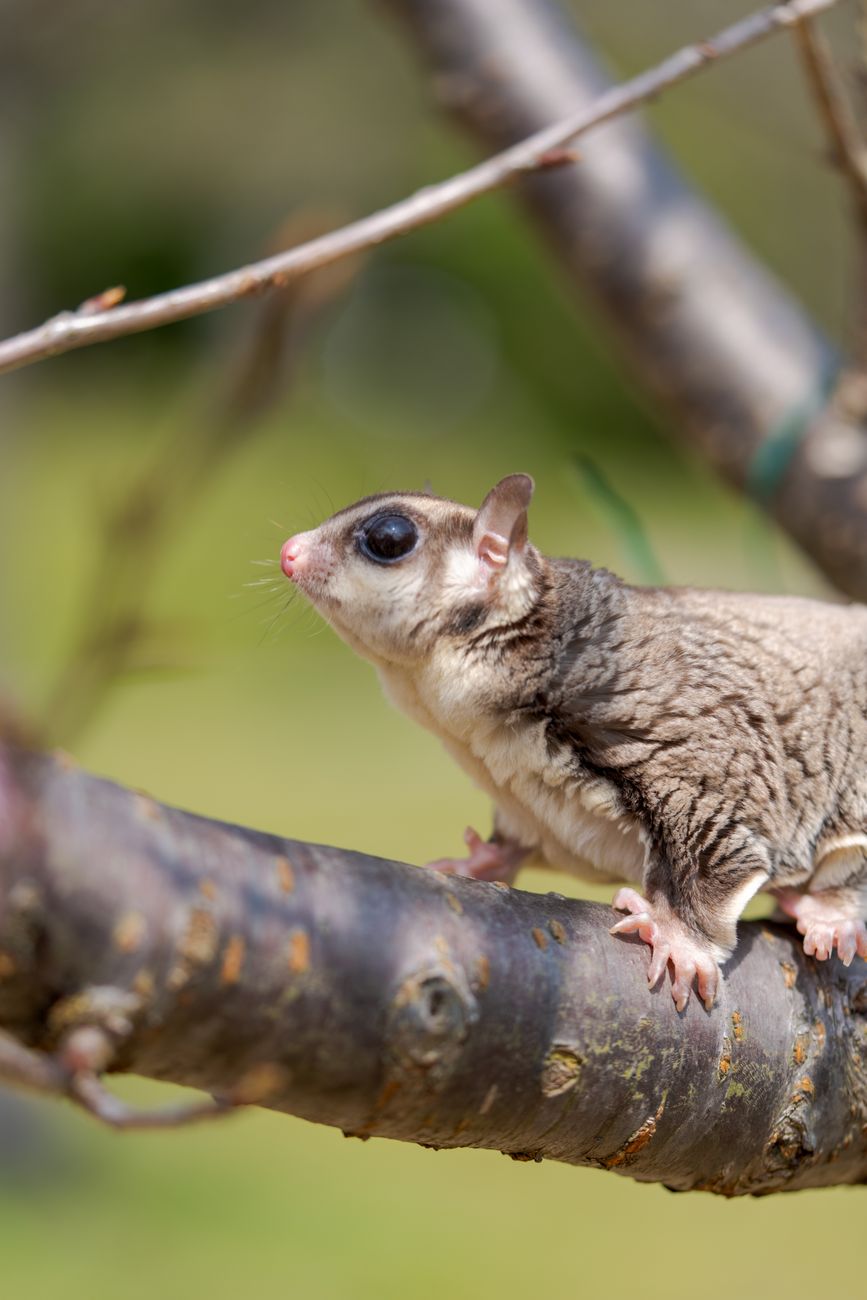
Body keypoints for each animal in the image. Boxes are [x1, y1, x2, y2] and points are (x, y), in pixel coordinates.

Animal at [280, 473, 867, 1010]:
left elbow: (720, 842)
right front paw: (482, 862)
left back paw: (828, 913)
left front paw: (682, 941)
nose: (288, 553)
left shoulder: (688, 744)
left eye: (389, 539)